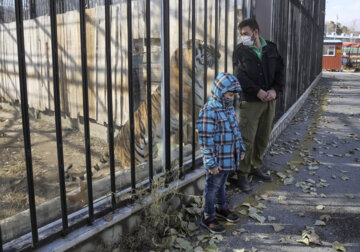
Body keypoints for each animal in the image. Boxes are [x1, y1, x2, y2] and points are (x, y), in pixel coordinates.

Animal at [64, 39, 219, 185]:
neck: (195, 74)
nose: (220, 54)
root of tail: (116, 138)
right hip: (133, 160)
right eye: (206, 47)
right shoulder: (191, 110)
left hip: (151, 152)